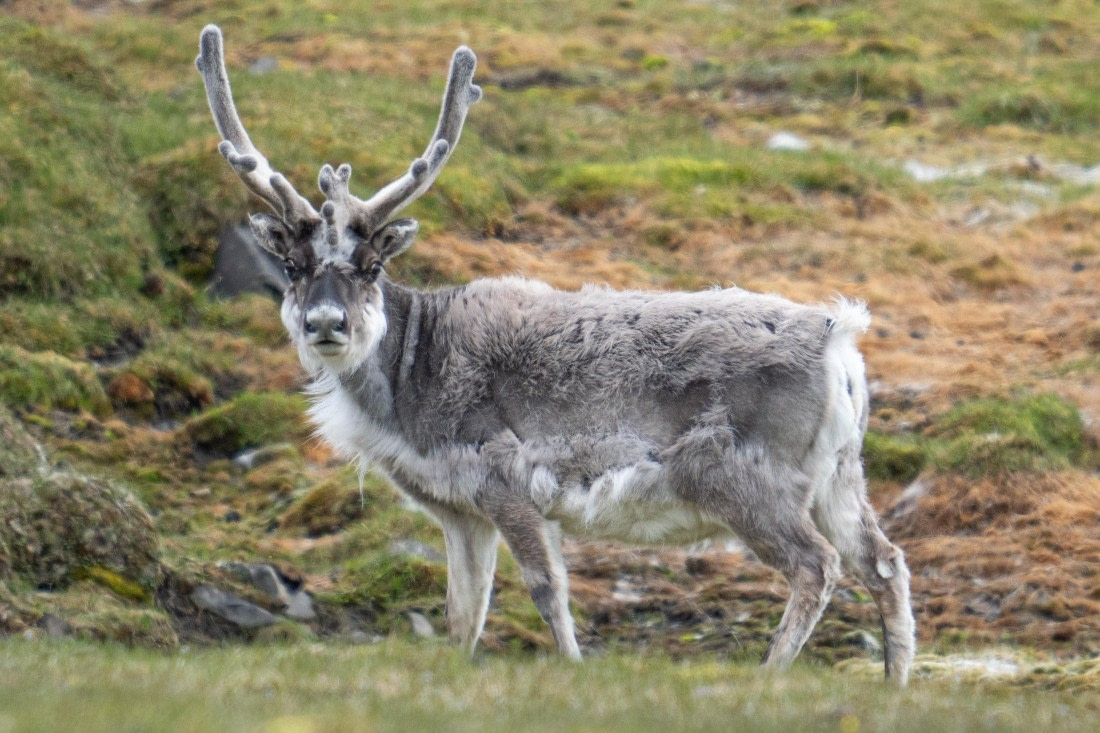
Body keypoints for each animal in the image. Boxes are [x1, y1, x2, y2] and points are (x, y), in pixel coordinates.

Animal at [196, 24, 915, 683]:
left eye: (372, 265)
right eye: (292, 265)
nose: (326, 323)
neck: (406, 387)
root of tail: (841, 340)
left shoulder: (505, 480)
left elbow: (547, 591)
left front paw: (570, 666)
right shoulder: (460, 511)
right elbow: (464, 613)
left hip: (745, 479)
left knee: (816, 565)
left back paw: (770, 674)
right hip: (840, 476)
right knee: (885, 561)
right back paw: (894, 683)